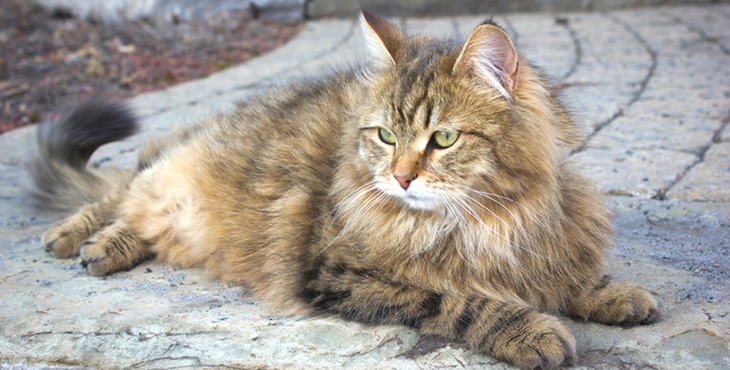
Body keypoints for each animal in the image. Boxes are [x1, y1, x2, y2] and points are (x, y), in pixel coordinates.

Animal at [28, 11, 656, 370]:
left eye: (444, 139)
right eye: (385, 136)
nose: (401, 177)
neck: (487, 219)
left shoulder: (545, 235)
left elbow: (570, 276)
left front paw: (611, 295)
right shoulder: (339, 272)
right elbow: (461, 301)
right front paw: (531, 330)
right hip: (172, 178)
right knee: (122, 192)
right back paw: (81, 240)